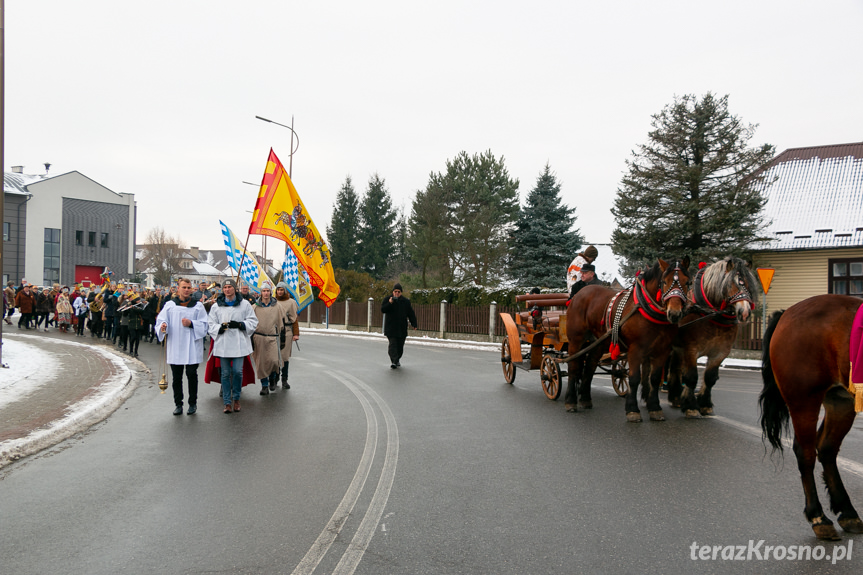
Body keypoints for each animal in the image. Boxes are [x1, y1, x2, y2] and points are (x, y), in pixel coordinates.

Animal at [564, 256, 692, 424]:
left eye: (688, 282)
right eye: (664, 282)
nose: (675, 313)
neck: (647, 309)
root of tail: (580, 293)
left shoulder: (662, 350)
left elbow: (654, 379)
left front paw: (655, 408)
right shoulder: (636, 350)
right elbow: (634, 378)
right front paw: (632, 410)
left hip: (598, 342)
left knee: (590, 367)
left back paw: (585, 398)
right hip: (576, 340)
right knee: (573, 367)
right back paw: (571, 401)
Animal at [668, 258, 756, 416]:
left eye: (747, 283)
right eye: (729, 284)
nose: (745, 312)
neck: (711, 316)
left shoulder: (720, 353)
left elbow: (710, 378)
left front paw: (705, 404)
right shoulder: (690, 350)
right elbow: (691, 377)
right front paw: (690, 406)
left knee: (675, 368)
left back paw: (676, 397)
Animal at [764, 294, 863, 544]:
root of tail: (788, 313)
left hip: (840, 402)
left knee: (826, 449)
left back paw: (848, 512)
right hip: (804, 401)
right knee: (805, 453)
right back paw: (819, 517)